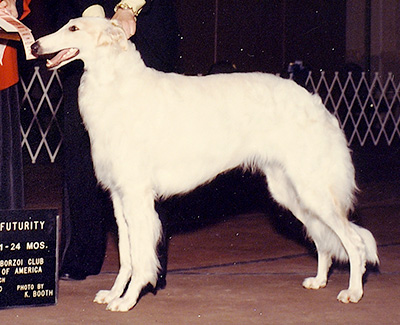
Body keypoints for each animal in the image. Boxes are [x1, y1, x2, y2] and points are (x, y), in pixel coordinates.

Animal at [32, 16, 378, 310]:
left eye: (73, 28)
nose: (34, 46)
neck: (116, 84)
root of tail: (317, 103)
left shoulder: (136, 195)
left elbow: (141, 255)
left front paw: (128, 300)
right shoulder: (119, 196)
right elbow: (127, 256)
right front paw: (115, 293)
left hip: (311, 189)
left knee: (353, 242)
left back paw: (353, 292)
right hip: (290, 192)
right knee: (323, 241)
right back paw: (319, 280)